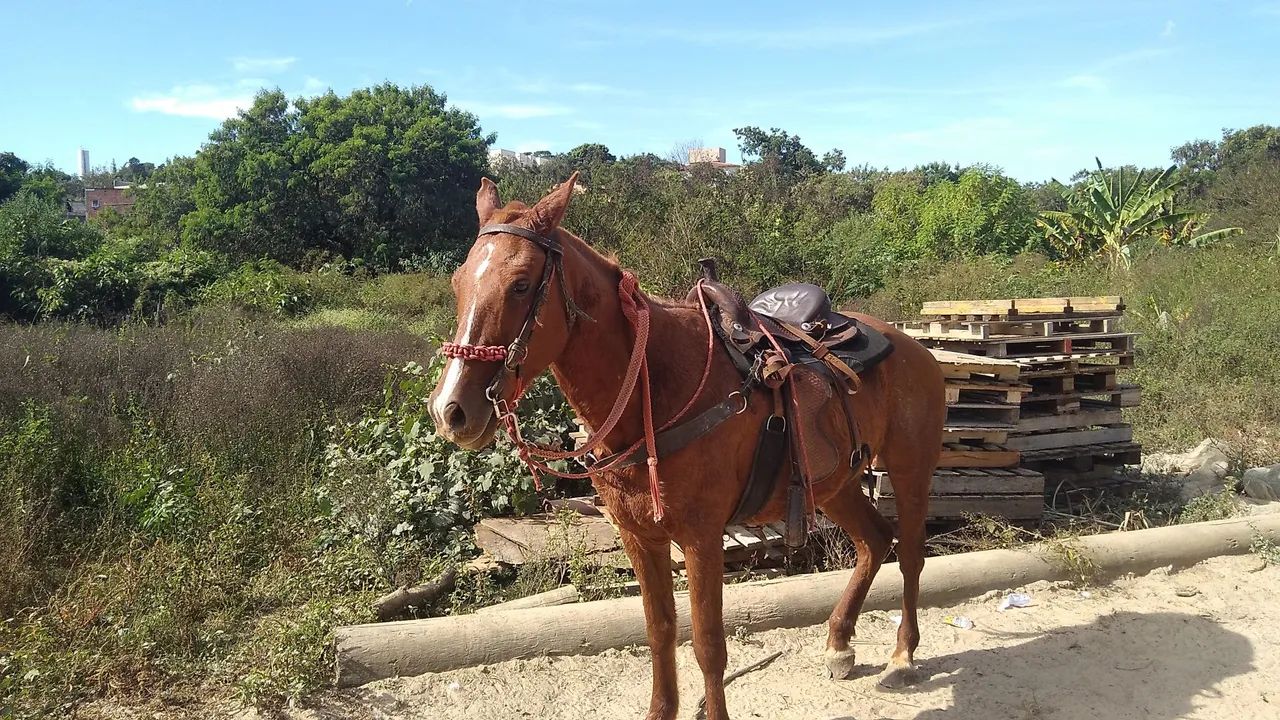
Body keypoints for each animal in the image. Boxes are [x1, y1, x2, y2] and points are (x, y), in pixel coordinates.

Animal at [428, 173, 945, 720]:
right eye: (459, 282)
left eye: (522, 284)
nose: (450, 410)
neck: (654, 392)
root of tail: (913, 346)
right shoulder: (640, 537)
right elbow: (659, 631)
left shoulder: (701, 538)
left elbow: (707, 644)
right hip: (835, 485)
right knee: (874, 541)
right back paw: (840, 644)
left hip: (910, 471)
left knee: (910, 555)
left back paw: (903, 655)